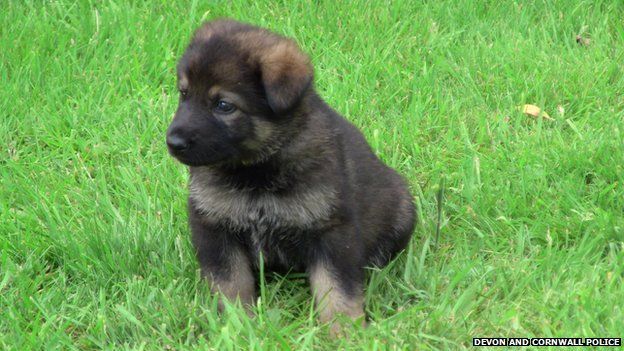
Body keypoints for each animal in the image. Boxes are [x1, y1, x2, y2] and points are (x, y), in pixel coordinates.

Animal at [168, 19, 416, 332]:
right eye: (184, 94)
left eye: (224, 105)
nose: (173, 142)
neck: (255, 172)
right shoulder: (214, 226)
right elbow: (230, 284)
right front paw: (238, 327)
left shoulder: (332, 229)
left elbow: (337, 288)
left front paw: (345, 331)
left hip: (403, 209)